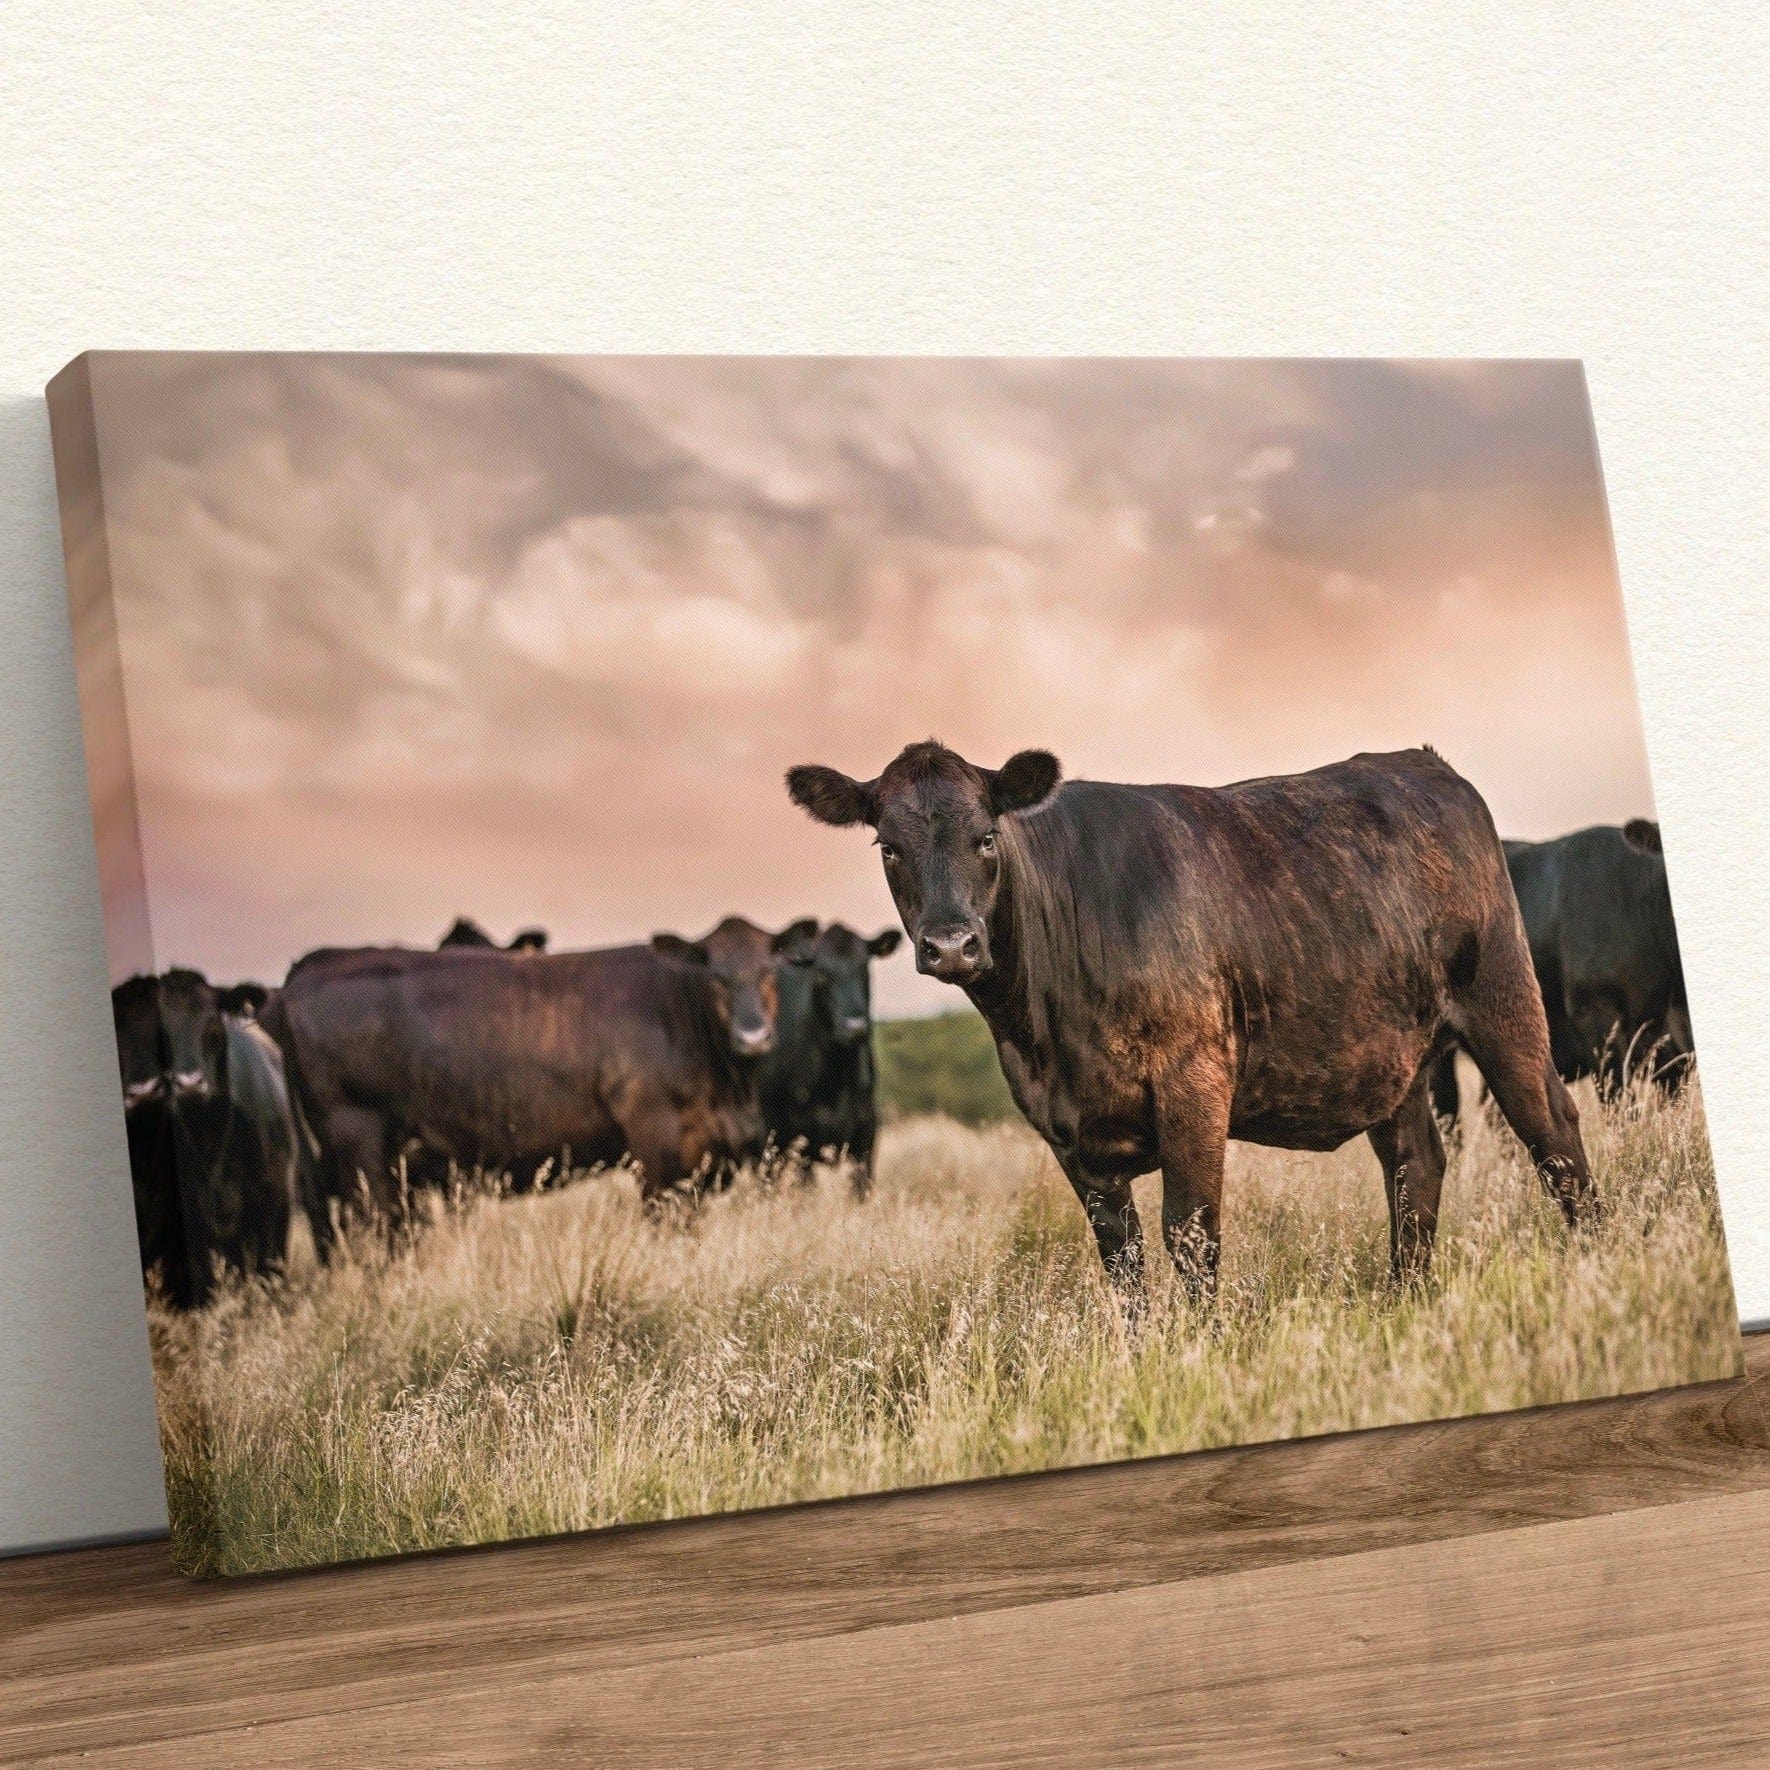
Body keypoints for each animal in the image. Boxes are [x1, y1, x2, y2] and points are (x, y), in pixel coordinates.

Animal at [270, 915, 818, 1247]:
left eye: (770, 970)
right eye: (715, 976)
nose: (752, 1035)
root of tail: (311, 966)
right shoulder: (656, 1142)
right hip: (358, 1145)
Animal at [787, 740, 1597, 1309]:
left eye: (986, 836)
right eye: (890, 846)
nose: (952, 944)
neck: (1047, 1035)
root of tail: (1420, 763)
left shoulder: (1194, 1082)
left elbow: (1191, 1234)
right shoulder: (1068, 1131)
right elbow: (1122, 1258)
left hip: (1502, 1002)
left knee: (1552, 1133)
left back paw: (1598, 1260)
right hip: (1391, 1057)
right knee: (1414, 1163)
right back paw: (1405, 1300)